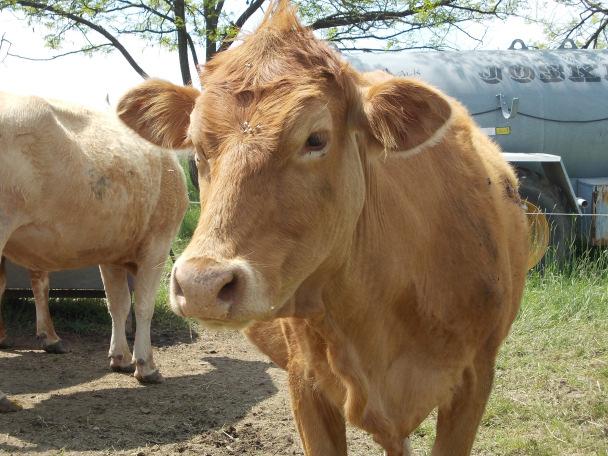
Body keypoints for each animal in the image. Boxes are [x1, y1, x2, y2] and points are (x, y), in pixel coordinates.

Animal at [0, 91, 188, 412]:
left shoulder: (112, 252)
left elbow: (118, 304)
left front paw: (120, 358)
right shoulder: (158, 243)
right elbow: (143, 305)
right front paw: (146, 366)